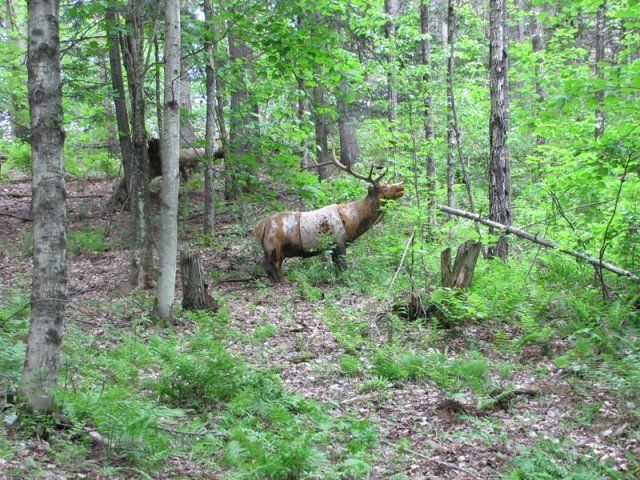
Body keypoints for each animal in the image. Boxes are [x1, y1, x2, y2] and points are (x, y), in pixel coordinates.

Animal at [254, 152, 404, 282]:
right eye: (384, 187)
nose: (401, 185)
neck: (353, 221)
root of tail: (259, 227)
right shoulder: (339, 241)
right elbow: (343, 266)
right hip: (274, 247)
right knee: (275, 268)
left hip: (269, 249)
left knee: (266, 266)